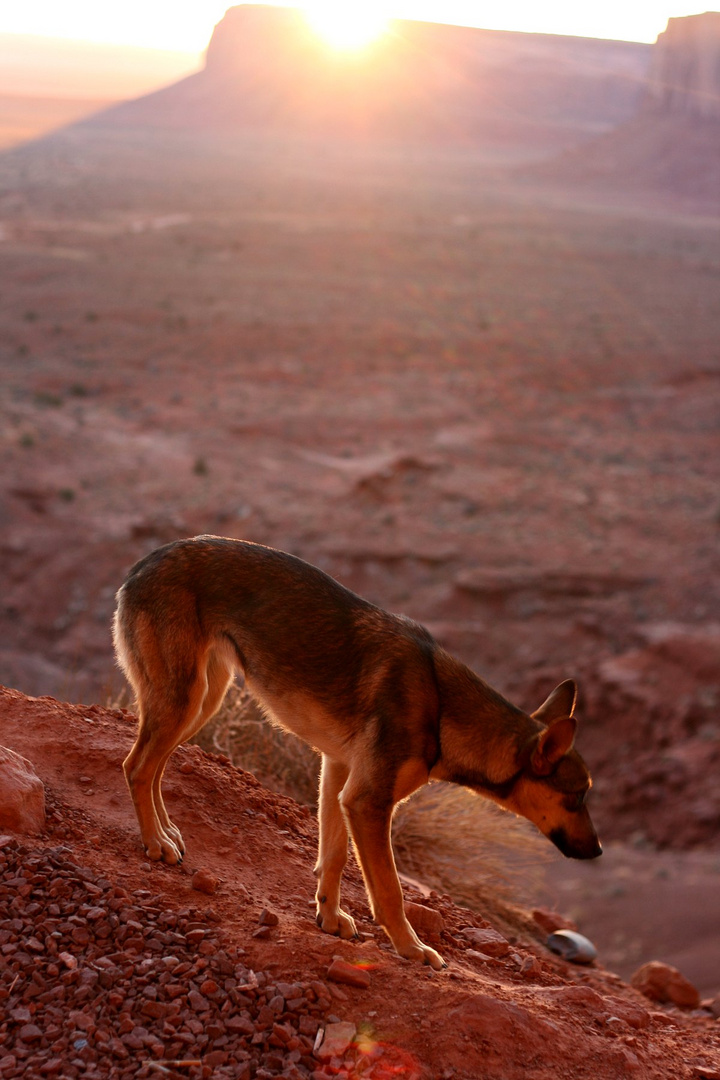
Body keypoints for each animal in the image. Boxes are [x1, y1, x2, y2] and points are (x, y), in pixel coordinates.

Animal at [113, 535, 604, 967]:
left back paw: (168, 833)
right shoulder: (368, 801)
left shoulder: (338, 774)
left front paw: (329, 918)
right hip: (185, 699)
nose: (598, 850)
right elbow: (389, 890)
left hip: (201, 701)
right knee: (136, 765)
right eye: (577, 796)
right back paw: (155, 842)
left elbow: (331, 858)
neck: (443, 708)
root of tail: (142, 564)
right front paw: (412, 949)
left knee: (154, 765)